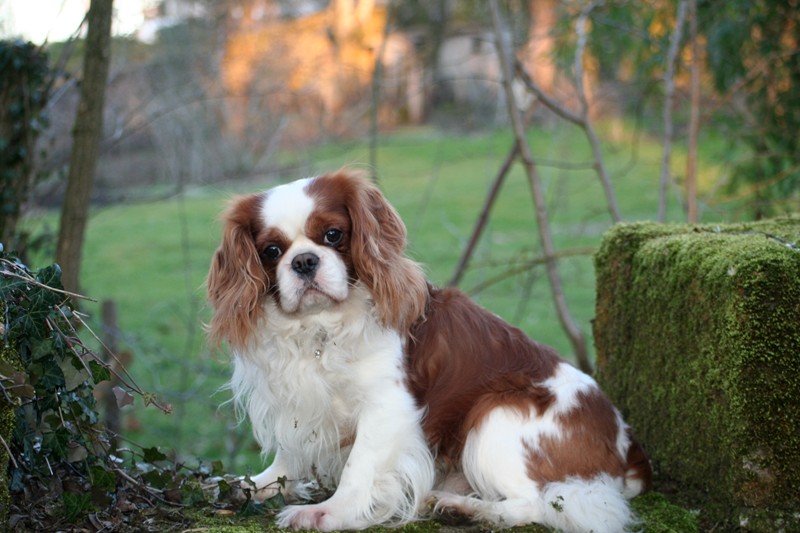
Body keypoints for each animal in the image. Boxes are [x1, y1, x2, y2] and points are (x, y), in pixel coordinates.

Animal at [205, 170, 648, 532]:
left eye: (333, 235)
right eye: (271, 251)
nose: (304, 261)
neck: (318, 329)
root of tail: (627, 449)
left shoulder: (387, 406)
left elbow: (359, 466)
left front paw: (329, 512)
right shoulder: (299, 401)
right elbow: (289, 453)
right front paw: (255, 484)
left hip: (493, 417)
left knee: (539, 504)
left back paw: (465, 509)